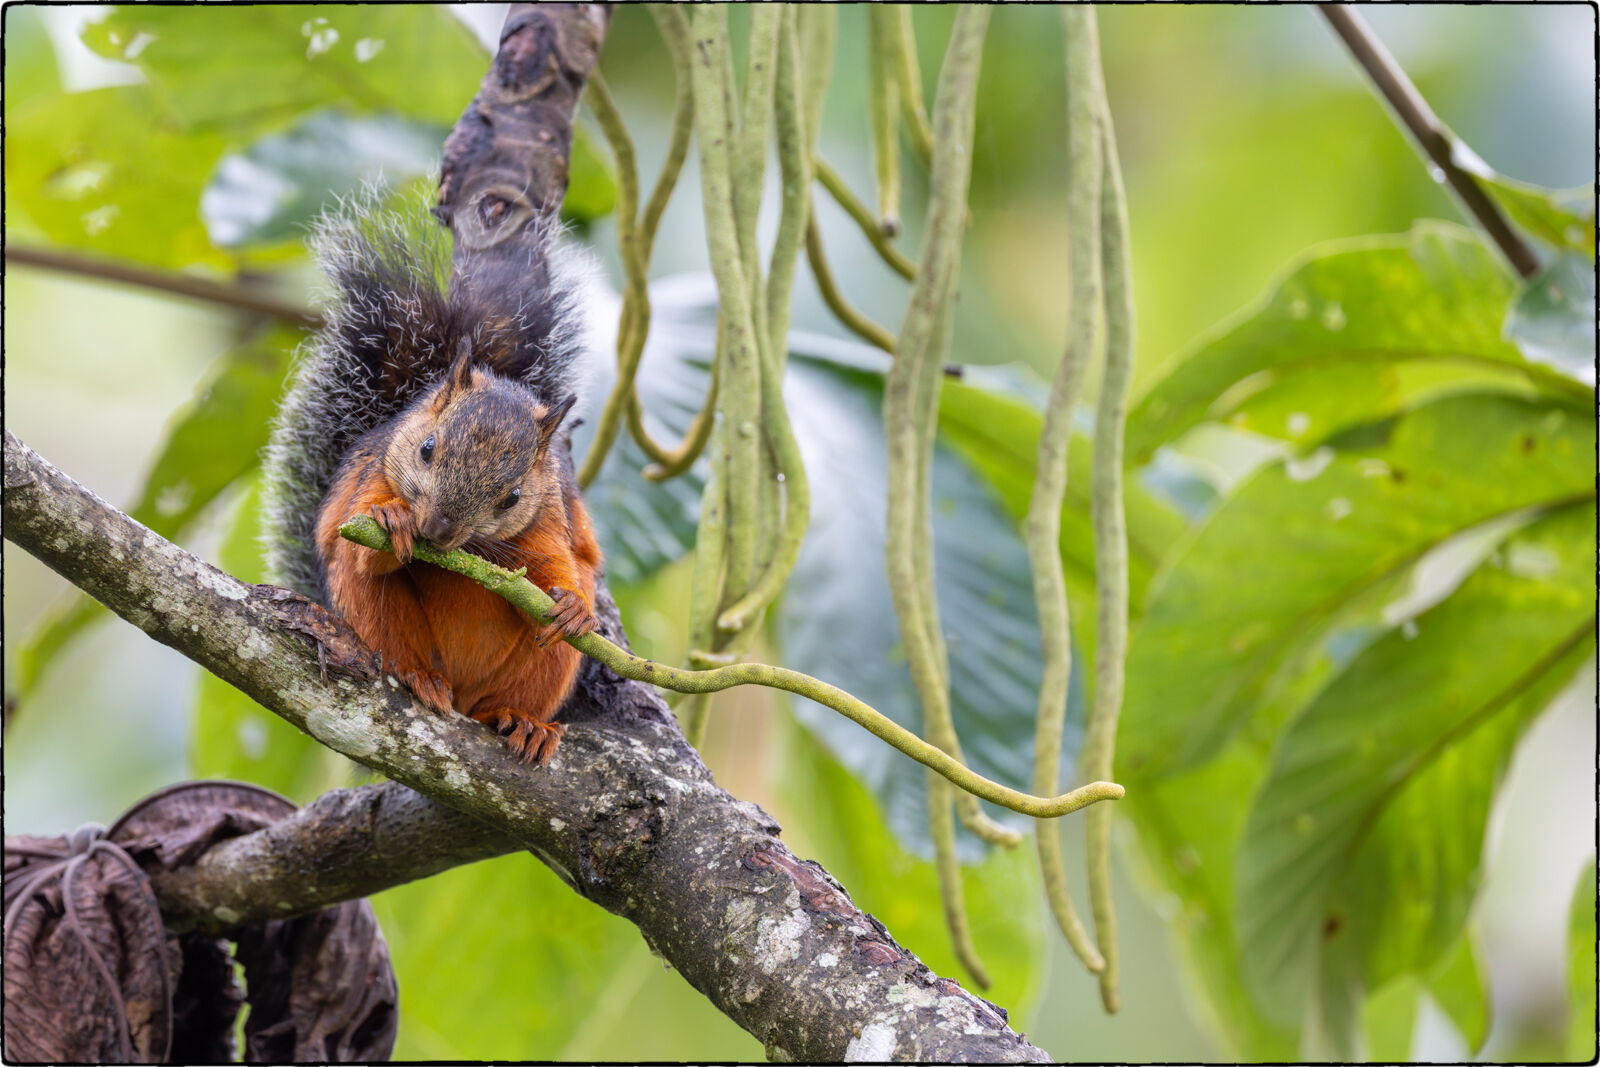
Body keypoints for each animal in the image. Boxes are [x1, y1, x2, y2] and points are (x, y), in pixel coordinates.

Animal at [261, 201, 601, 764]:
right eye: (426, 449)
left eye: (512, 497)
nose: (438, 531)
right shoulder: (371, 481)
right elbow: (361, 543)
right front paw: (391, 518)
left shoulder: (547, 521)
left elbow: (555, 567)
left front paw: (573, 606)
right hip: (369, 614)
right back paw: (419, 677)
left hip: (546, 669)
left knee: (519, 689)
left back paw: (525, 721)